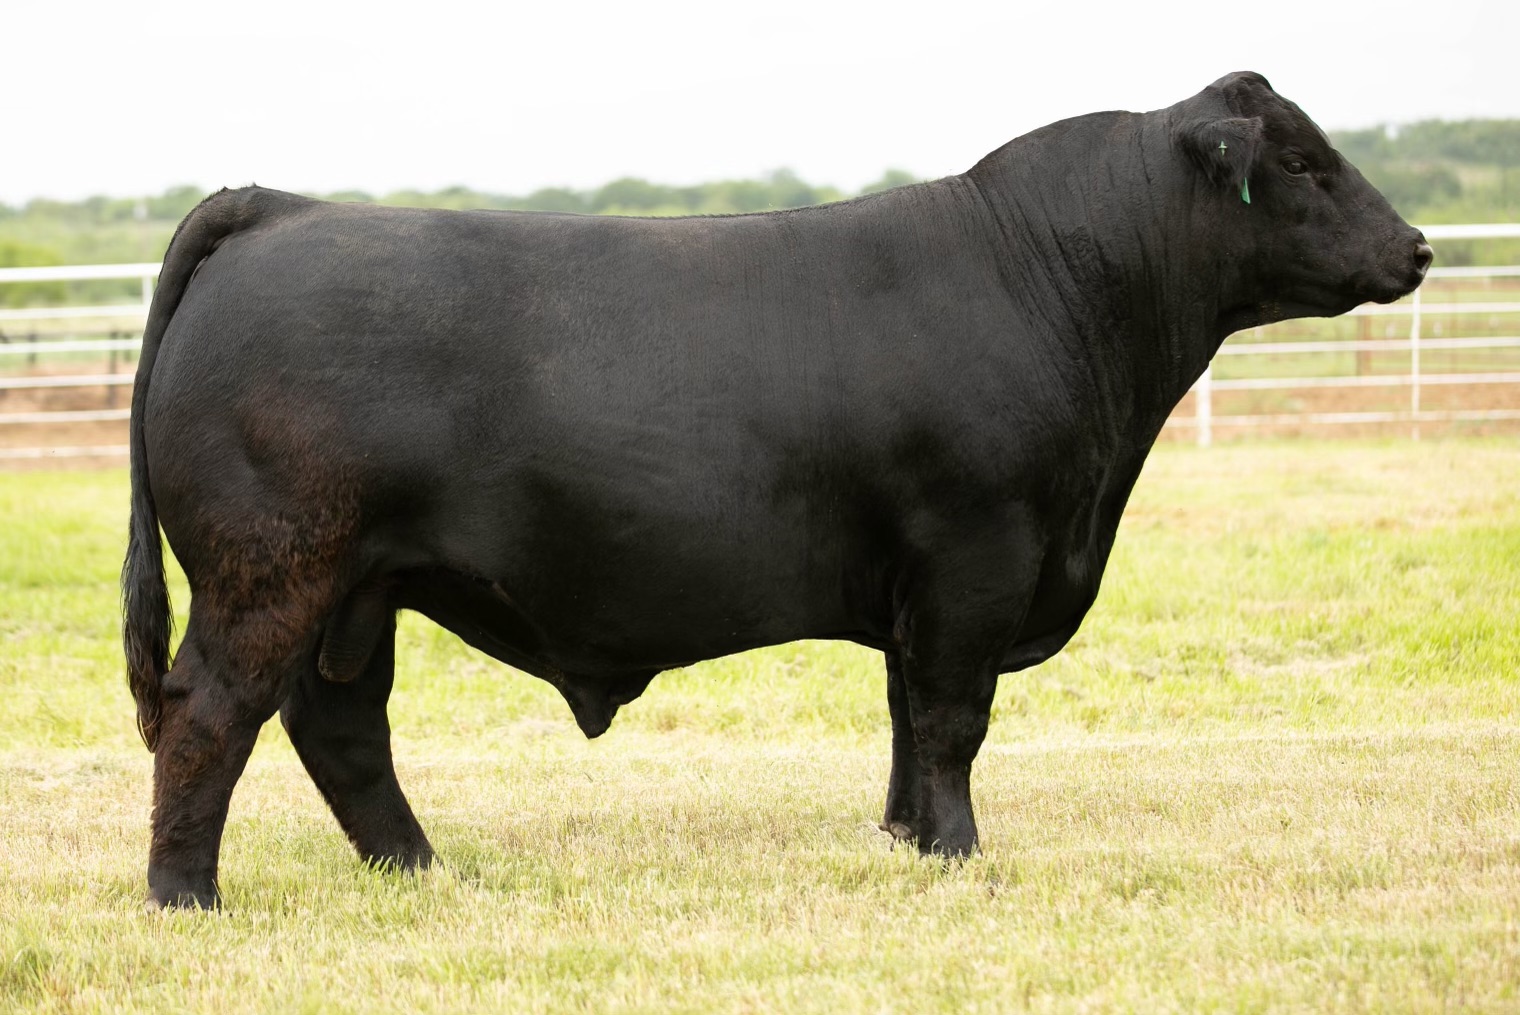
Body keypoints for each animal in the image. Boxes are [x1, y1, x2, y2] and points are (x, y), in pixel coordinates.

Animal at [123, 72, 1431, 909]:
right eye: (1300, 161)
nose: (1417, 246)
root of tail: (277, 205)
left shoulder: (921, 583)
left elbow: (905, 714)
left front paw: (905, 839)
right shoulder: (974, 554)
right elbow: (952, 717)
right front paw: (959, 855)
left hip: (358, 587)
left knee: (338, 725)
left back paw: (420, 869)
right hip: (271, 565)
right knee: (209, 716)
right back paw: (187, 897)